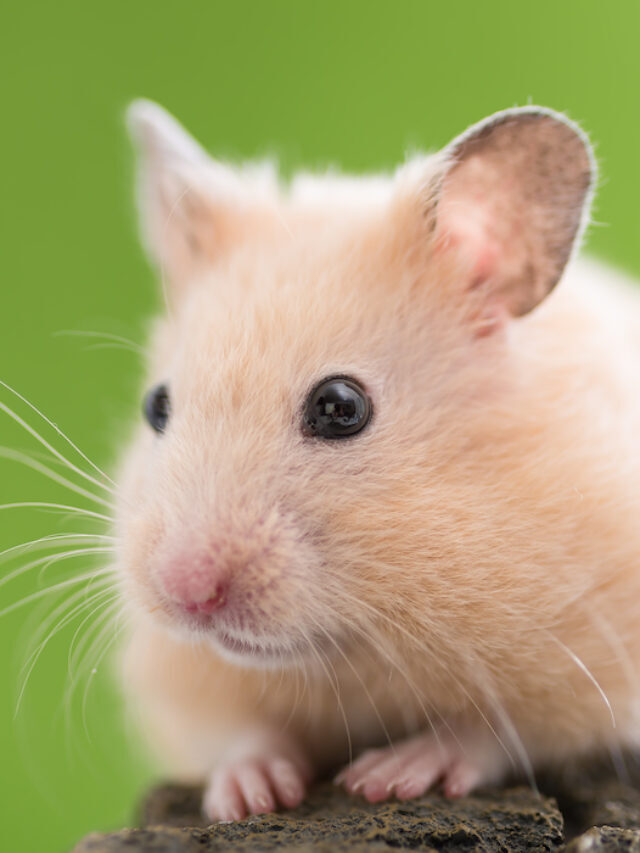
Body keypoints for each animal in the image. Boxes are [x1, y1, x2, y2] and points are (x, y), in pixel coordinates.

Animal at [118, 100, 640, 822]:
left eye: (341, 406)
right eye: (155, 405)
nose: (186, 591)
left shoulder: (595, 667)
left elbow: (493, 730)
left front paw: (384, 778)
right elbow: (243, 731)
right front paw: (250, 797)